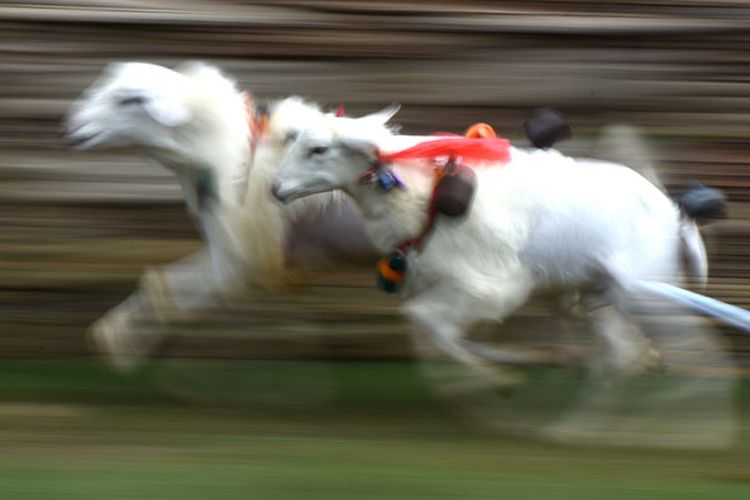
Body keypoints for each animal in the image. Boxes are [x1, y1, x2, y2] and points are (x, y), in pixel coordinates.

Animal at [65, 60, 374, 370]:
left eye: (130, 100)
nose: (73, 128)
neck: (232, 151)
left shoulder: (241, 258)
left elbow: (170, 291)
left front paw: (121, 343)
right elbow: (163, 287)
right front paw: (116, 338)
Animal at [274, 111, 712, 376]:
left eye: (318, 149)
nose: (275, 189)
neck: (424, 194)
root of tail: (674, 212)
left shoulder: (492, 284)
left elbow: (426, 320)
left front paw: (494, 374)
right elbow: (433, 325)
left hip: (642, 289)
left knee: (653, 338)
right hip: (594, 287)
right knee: (605, 331)